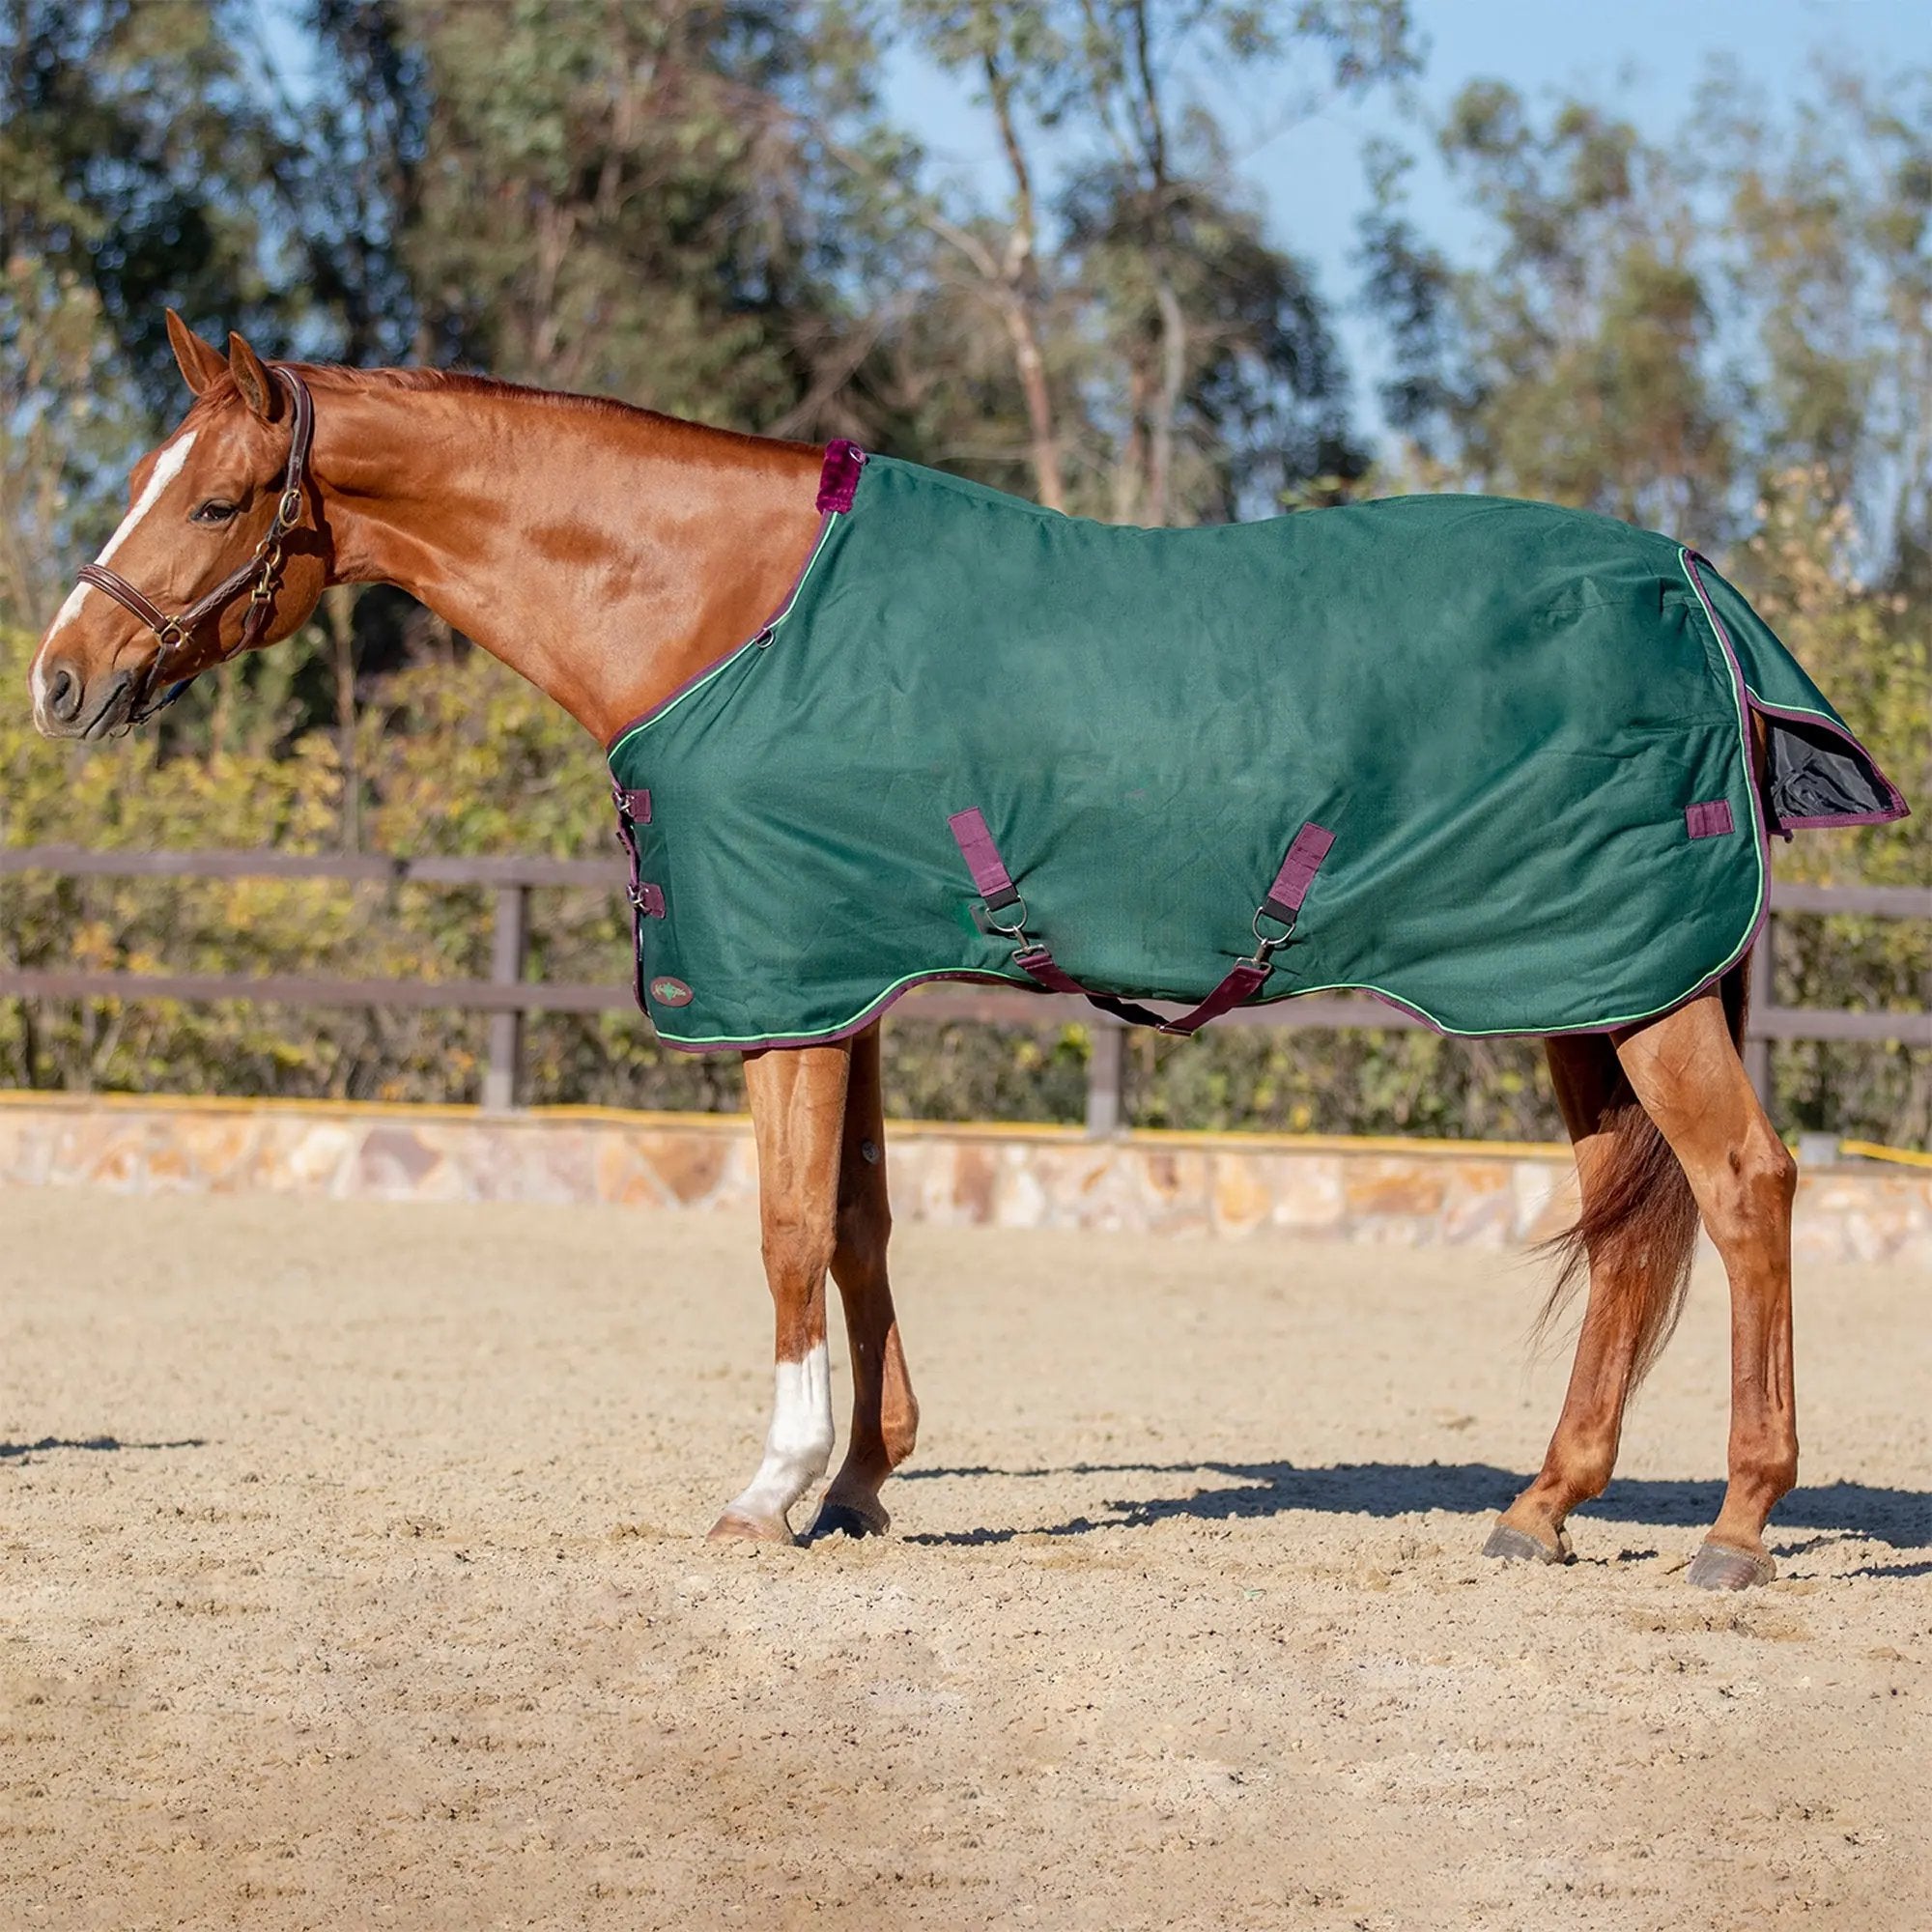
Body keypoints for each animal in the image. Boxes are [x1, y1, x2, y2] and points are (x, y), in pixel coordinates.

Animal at [28, 313, 1904, 1590]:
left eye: (215, 503)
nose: (57, 678)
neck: (728, 610)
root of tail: (1686, 579)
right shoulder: (839, 976)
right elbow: (859, 1227)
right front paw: (863, 1485)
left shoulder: (781, 989)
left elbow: (785, 1236)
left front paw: (766, 1491)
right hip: (1581, 986)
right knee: (1636, 1229)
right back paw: (1542, 1506)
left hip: (1635, 985)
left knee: (1746, 1189)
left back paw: (1738, 1528)